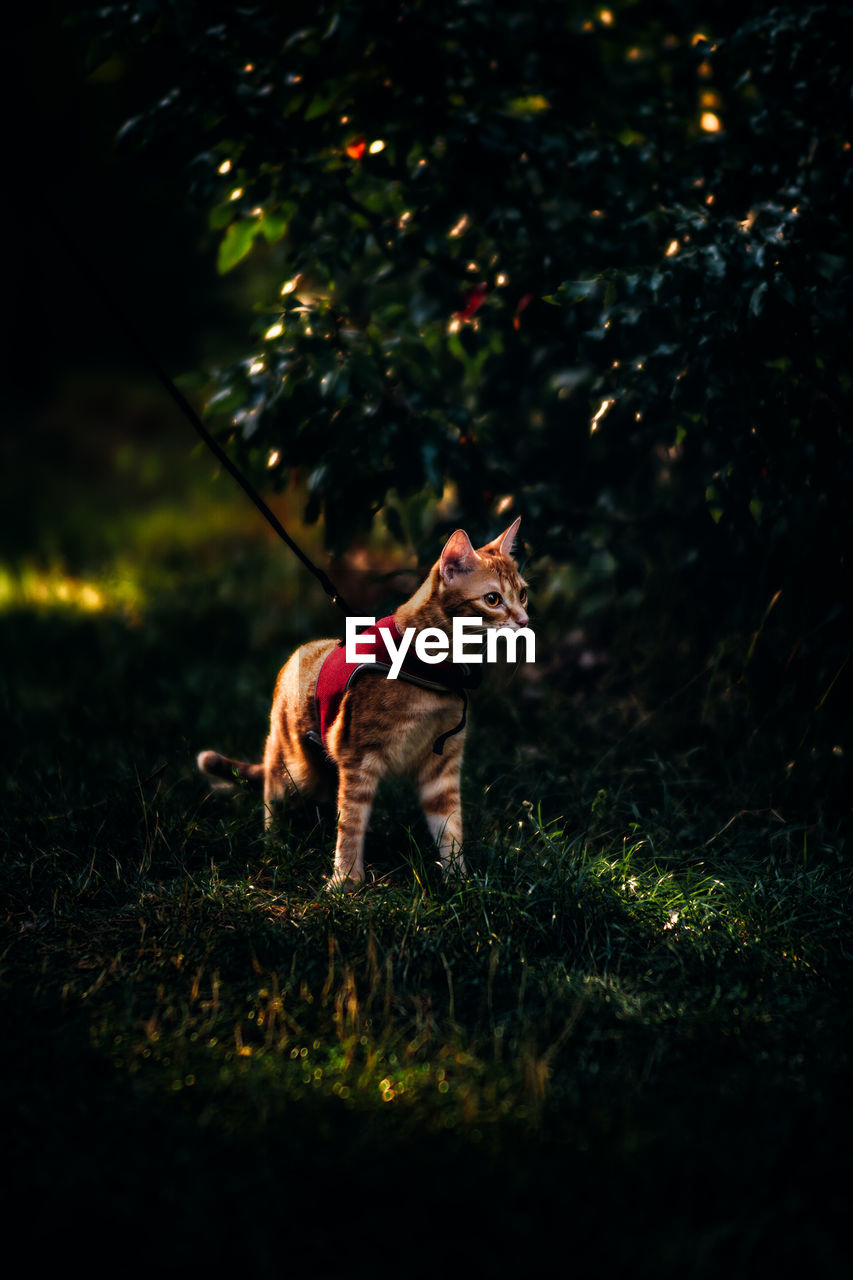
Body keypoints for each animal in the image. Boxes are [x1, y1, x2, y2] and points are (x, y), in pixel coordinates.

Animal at [201, 514, 532, 885]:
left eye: (522, 594)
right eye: (492, 599)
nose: (524, 620)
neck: (433, 669)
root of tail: (297, 654)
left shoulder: (442, 767)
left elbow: (449, 827)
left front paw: (458, 878)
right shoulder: (358, 759)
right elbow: (351, 824)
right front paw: (345, 881)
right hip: (295, 769)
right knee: (273, 793)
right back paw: (275, 844)